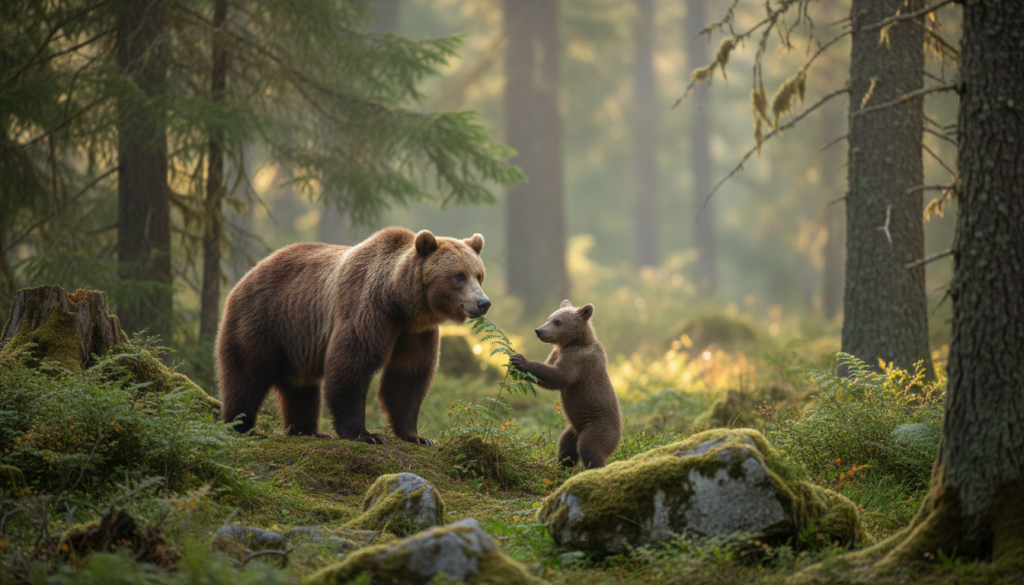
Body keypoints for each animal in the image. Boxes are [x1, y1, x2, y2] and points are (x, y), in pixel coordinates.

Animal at [216, 227, 490, 445]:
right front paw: (366, 434)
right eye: (458, 275)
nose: (483, 302)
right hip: (263, 321)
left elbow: (407, 376)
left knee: (301, 387)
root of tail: (247, 275)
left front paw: (417, 436)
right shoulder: (366, 308)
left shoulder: (415, 332)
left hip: (297, 342)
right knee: (246, 375)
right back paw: (241, 425)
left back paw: (309, 431)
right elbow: (351, 365)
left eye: (478, 275)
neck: (400, 302)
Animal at [510, 300, 622, 468]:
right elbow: (549, 381)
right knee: (566, 445)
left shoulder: (578, 359)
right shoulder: (556, 354)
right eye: (549, 317)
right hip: (574, 429)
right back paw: (563, 466)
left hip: (599, 426)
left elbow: (560, 376)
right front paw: (515, 368)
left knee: (590, 447)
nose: (539, 330)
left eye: (557, 322)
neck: (571, 343)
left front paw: (522, 361)